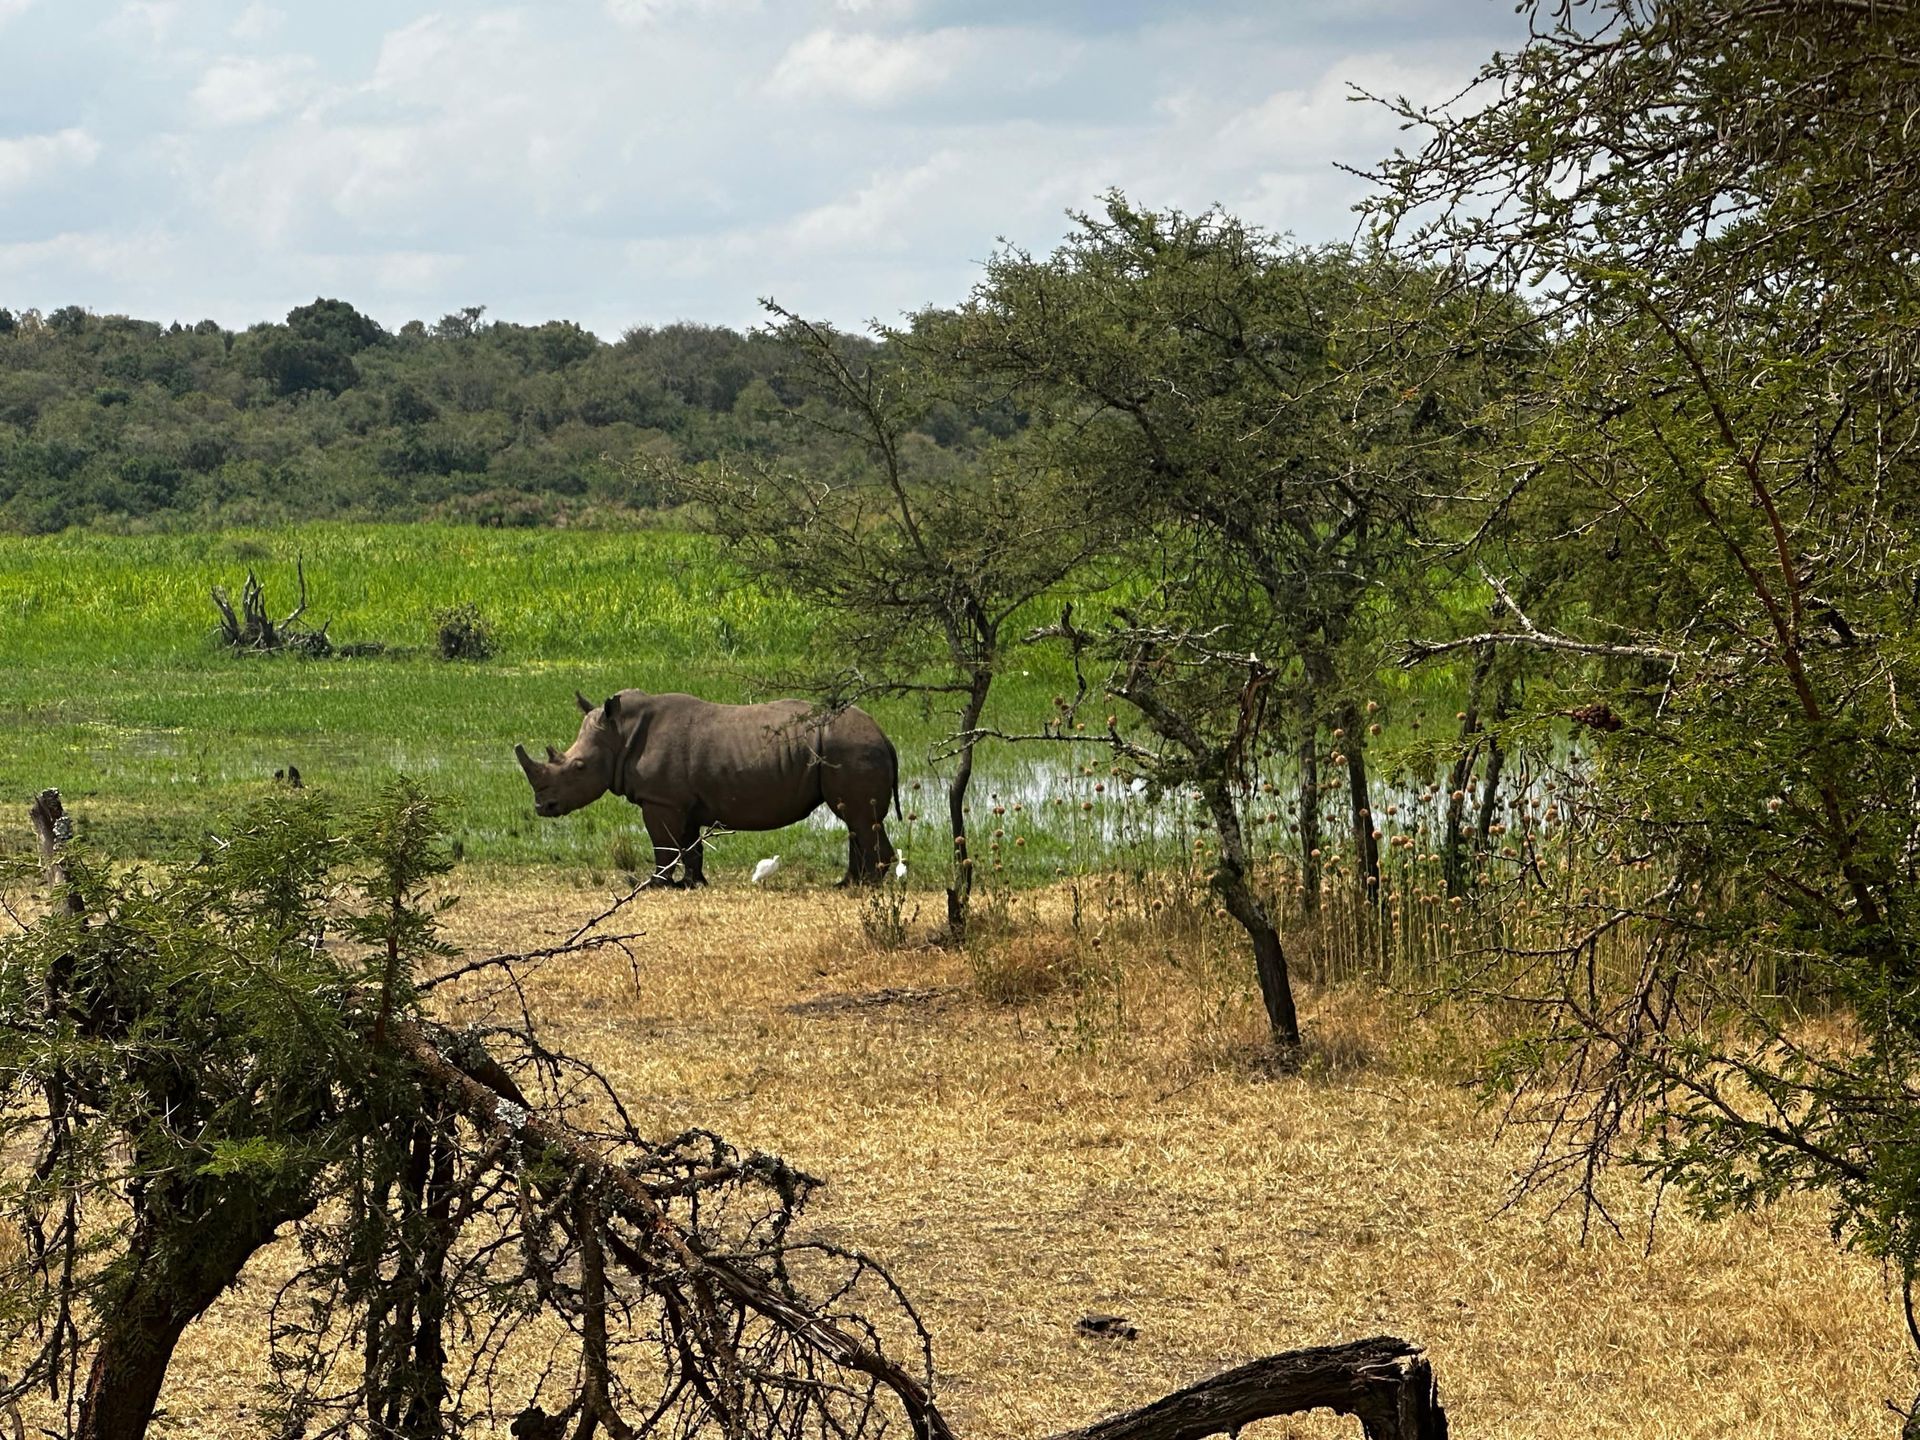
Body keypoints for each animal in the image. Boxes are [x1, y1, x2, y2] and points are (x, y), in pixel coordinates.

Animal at [514, 690, 900, 887]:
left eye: (578, 767)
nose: (542, 807)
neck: (618, 735)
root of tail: (884, 735)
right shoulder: (679, 800)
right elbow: (688, 845)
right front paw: (694, 883)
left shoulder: (660, 800)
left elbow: (664, 844)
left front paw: (655, 884)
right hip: (848, 747)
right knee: (855, 819)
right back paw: (848, 884)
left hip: (849, 747)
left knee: (858, 818)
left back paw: (866, 887)